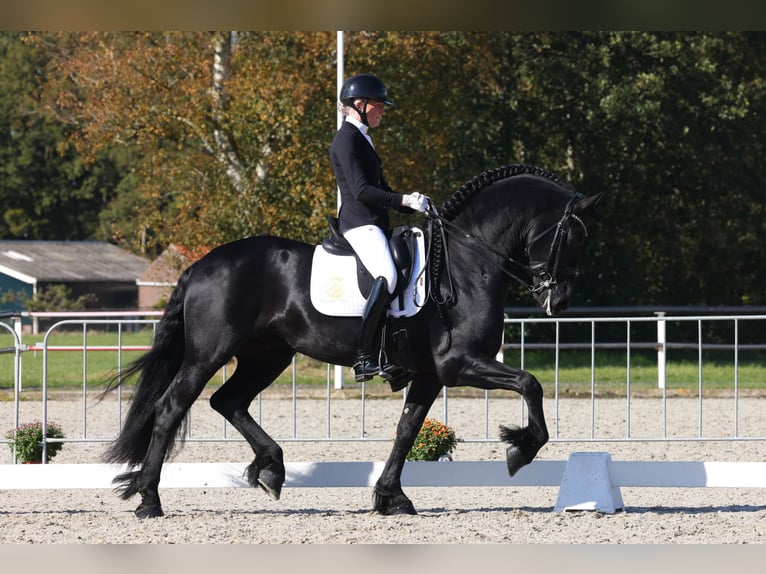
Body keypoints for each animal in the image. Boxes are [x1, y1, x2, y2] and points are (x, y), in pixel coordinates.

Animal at [103, 164, 608, 520]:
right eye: (571, 236)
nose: (559, 300)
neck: (466, 262)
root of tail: (202, 264)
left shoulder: (430, 374)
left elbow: (407, 430)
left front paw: (391, 497)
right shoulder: (459, 363)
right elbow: (530, 383)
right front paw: (520, 449)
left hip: (268, 355)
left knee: (228, 401)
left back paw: (270, 469)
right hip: (210, 353)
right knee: (172, 407)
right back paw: (149, 500)